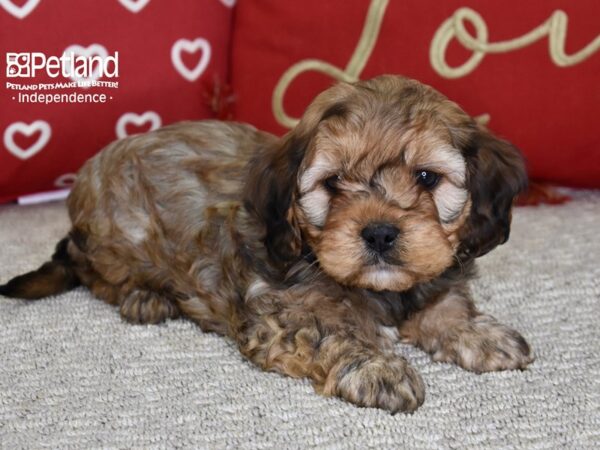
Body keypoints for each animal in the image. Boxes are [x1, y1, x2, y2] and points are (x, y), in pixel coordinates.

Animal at [1, 75, 536, 414]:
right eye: (333, 184)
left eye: (427, 178)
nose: (380, 232)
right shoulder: (283, 316)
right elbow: (334, 333)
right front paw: (378, 368)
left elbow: (446, 304)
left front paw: (479, 334)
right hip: (114, 241)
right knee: (98, 276)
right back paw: (145, 296)